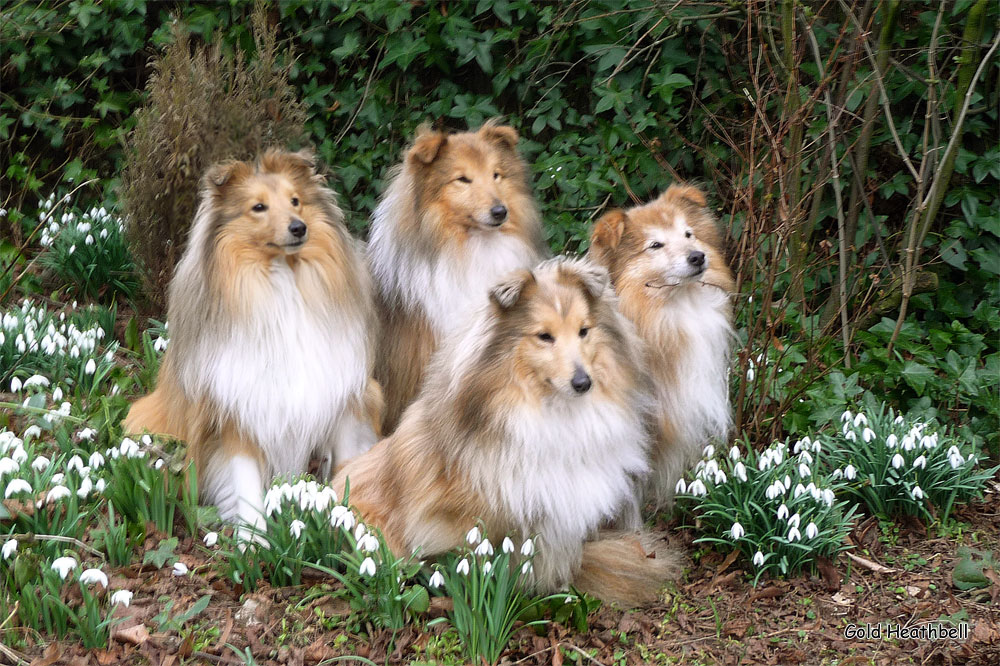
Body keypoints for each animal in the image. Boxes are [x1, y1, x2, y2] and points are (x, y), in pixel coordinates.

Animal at [127, 149, 384, 528]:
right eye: (258, 207)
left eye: (295, 201)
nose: (299, 227)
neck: (283, 283)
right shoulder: (236, 412)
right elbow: (245, 485)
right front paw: (254, 539)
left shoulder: (343, 397)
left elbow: (347, 465)